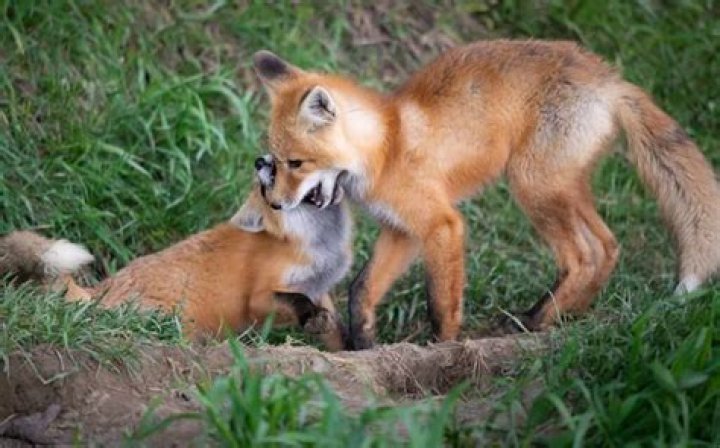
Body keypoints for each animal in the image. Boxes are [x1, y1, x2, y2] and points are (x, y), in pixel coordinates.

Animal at [0, 155, 352, 350]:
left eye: (294, 162)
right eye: (266, 187)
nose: (261, 160)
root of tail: (97, 293)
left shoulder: (320, 288)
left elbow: (335, 325)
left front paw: (347, 346)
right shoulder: (260, 298)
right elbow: (296, 301)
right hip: (174, 322)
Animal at [250, 39, 720, 349]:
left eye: (296, 163)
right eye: (277, 158)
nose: (276, 203)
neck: (386, 147)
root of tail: (609, 78)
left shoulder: (442, 224)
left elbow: (441, 301)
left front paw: (443, 350)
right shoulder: (402, 230)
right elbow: (362, 288)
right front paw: (363, 345)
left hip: (533, 185)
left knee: (583, 255)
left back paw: (534, 323)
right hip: (563, 187)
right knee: (607, 246)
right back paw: (566, 318)